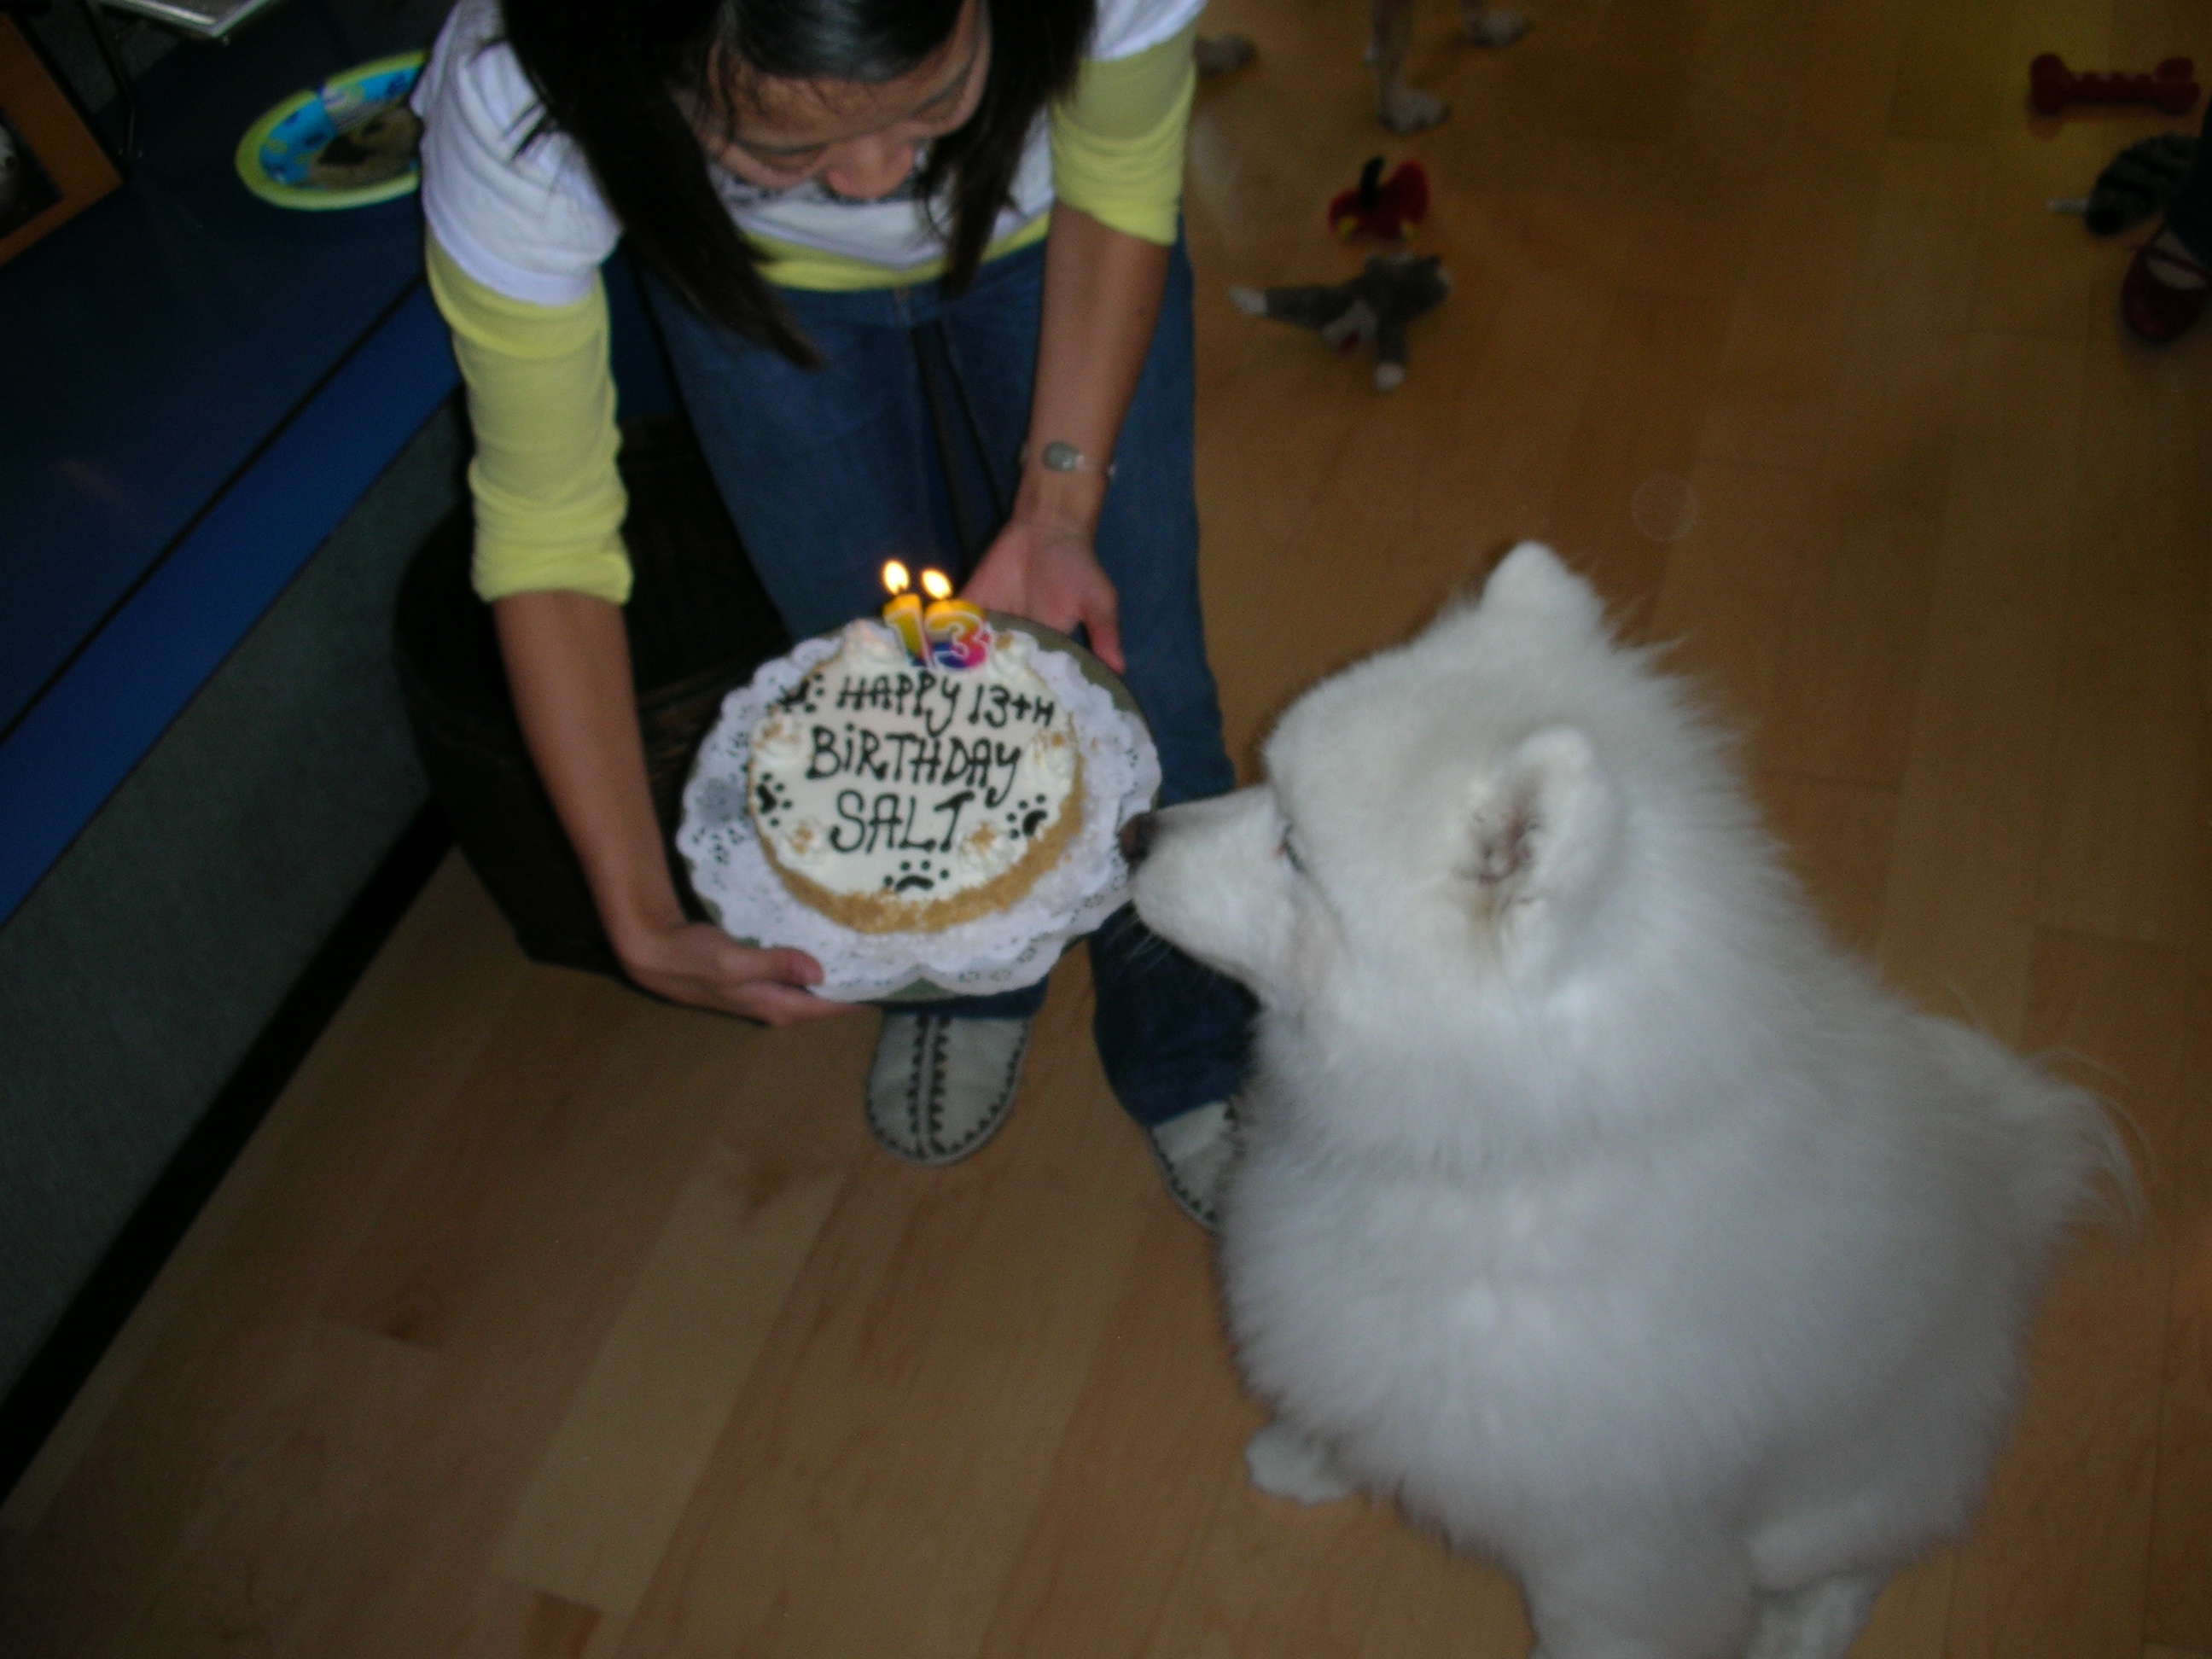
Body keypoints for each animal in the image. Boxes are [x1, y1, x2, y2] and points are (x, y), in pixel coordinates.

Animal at [1128, 544, 2131, 1659]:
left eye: (1295, 850)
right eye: (1263, 786)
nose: (1134, 831)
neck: (1504, 1152)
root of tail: (2014, 1195)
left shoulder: (1620, 1541)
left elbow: (1611, 1629)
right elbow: (1353, 1405)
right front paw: (1306, 1459)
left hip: (1838, 1504)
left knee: (1863, 1560)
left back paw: (1799, 1630)